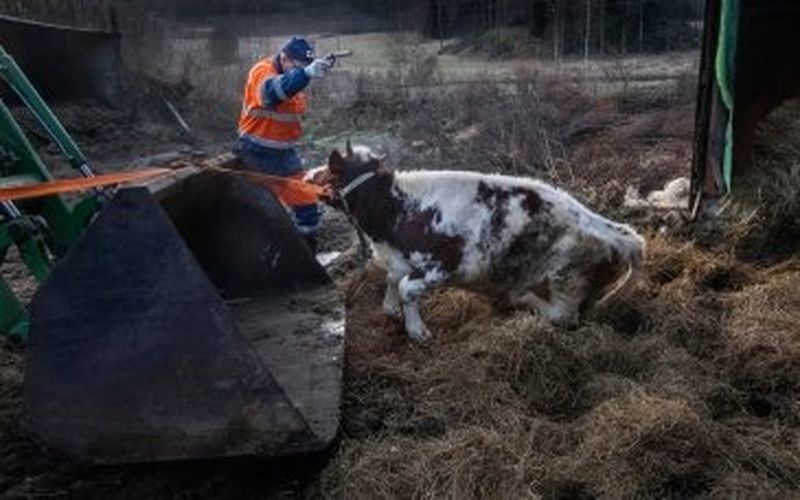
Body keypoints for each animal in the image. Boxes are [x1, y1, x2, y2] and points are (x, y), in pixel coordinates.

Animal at [322, 143, 648, 342]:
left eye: (330, 171)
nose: (312, 176)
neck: (400, 209)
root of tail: (619, 235)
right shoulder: (401, 258)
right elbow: (393, 278)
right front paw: (390, 310)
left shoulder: (442, 266)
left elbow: (405, 288)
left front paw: (417, 332)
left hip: (565, 278)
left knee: (562, 316)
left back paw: (520, 298)